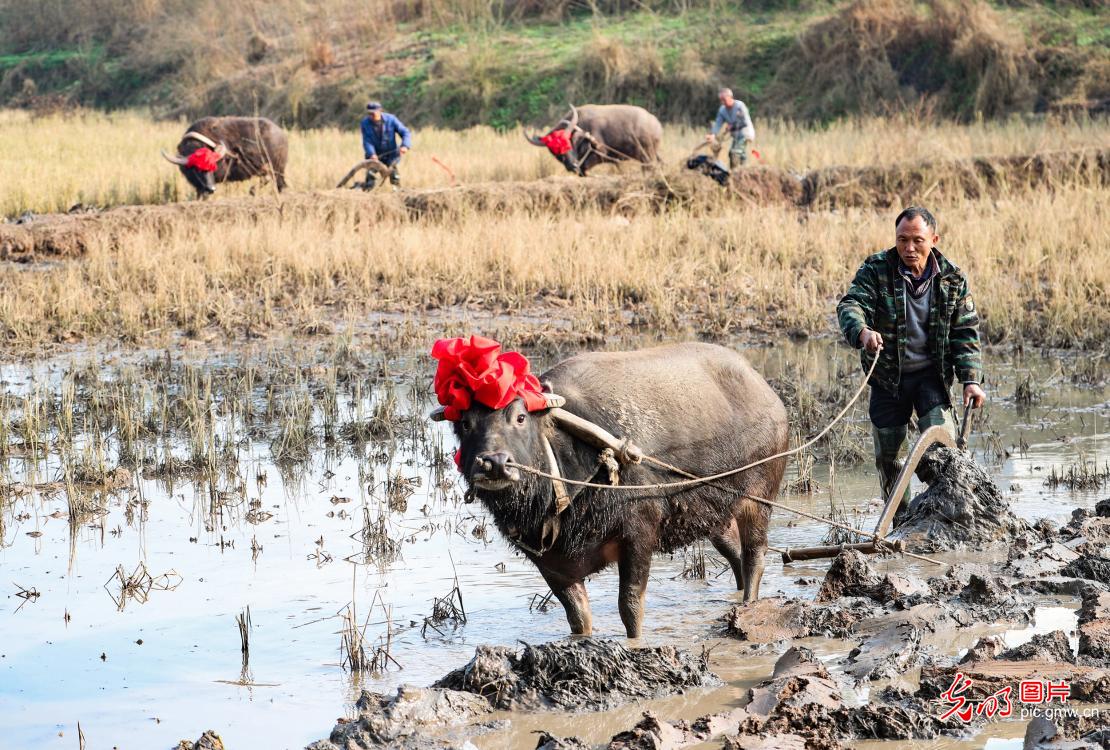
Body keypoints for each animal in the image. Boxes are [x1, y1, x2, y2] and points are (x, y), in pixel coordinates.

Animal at [162, 115, 290, 197]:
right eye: (196, 168)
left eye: (212, 165)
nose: (211, 189)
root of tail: (282, 134)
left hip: (277, 168)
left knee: (278, 183)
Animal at [426, 337, 790, 634]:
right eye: (465, 423)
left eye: (519, 417)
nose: (494, 462)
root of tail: (765, 390)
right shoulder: (551, 564)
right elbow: (578, 617)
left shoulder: (639, 533)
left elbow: (629, 606)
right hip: (714, 513)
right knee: (733, 552)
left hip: (759, 496)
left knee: (755, 555)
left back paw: (748, 603)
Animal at [523, 103, 661, 177]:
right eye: (555, 152)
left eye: (567, 143)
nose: (572, 166)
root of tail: (655, 122)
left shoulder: (600, 153)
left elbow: (585, 167)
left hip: (647, 155)